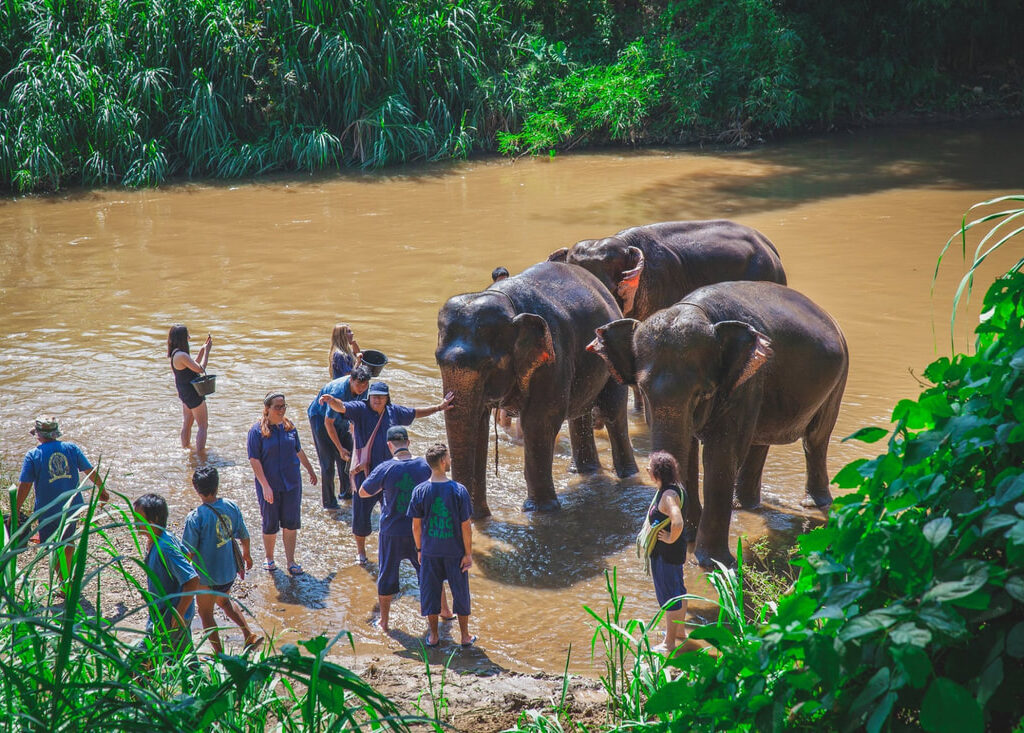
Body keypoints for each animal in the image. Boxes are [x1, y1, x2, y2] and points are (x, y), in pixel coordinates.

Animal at [436, 261, 639, 518]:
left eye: (488, 364)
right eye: (438, 360)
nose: (468, 516)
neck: (508, 305)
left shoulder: (553, 356)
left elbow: (539, 421)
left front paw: (541, 511)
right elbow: (478, 426)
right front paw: (480, 518)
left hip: (610, 357)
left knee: (613, 411)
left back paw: (628, 476)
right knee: (579, 414)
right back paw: (584, 472)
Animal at [588, 281, 848, 568]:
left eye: (703, 394)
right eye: (643, 390)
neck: (700, 312)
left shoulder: (745, 381)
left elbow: (720, 454)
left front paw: (711, 562)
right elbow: (690, 452)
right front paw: (686, 538)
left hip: (838, 378)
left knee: (816, 438)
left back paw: (813, 504)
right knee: (760, 441)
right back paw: (744, 505)